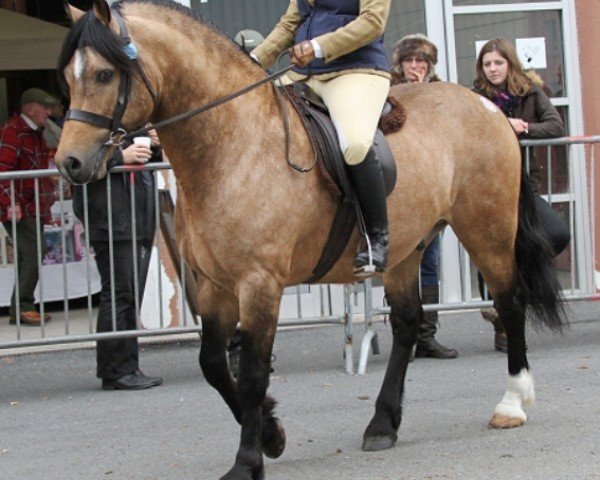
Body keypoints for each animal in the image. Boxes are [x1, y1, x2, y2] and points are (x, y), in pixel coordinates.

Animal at [54, 1, 564, 478]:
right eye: (67, 77)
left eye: (103, 73)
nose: (70, 164)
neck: (234, 145)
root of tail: (487, 106)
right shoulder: (214, 284)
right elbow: (214, 365)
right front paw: (271, 434)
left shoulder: (259, 284)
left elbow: (252, 373)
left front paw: (248, 460)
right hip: (406, 249)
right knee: (407, 324)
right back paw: (383, 424)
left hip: (486, 230)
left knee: (509, 300)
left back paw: (512, 403)